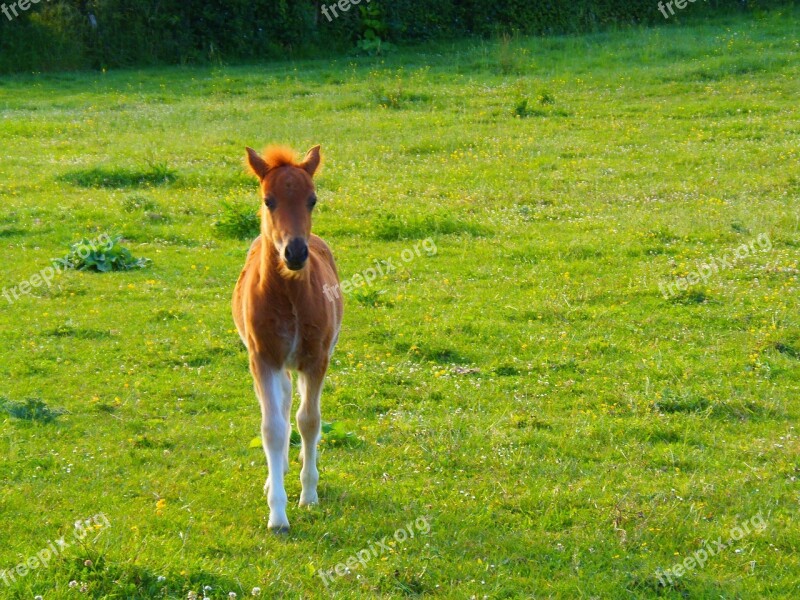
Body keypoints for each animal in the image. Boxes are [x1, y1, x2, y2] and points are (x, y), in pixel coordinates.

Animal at [231, 144, 344, 528]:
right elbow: (273, 429)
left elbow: (309, 422)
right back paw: (273, 476)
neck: (291, 297)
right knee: (279, 408)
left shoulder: (316, 359)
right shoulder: (263, 359)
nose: (294, 252)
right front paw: (277, 515)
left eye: (312, 199)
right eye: (269, 200)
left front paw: (309, 495)